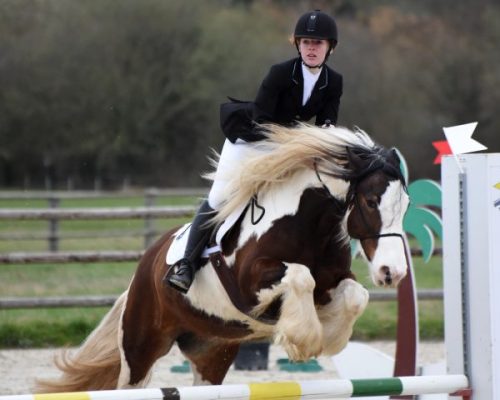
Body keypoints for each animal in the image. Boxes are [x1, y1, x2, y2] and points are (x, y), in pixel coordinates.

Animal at [36, 123, 410, 392]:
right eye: (370, 202)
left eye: (405, 204)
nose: (392, 273)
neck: (307, 223)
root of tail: (144, 267)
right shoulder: (251, 283)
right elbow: (300, 275)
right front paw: (305, 340)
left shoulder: (333, 282)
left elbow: (355, 296)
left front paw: (328, 335)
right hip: (140, 348)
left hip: (213, 351)